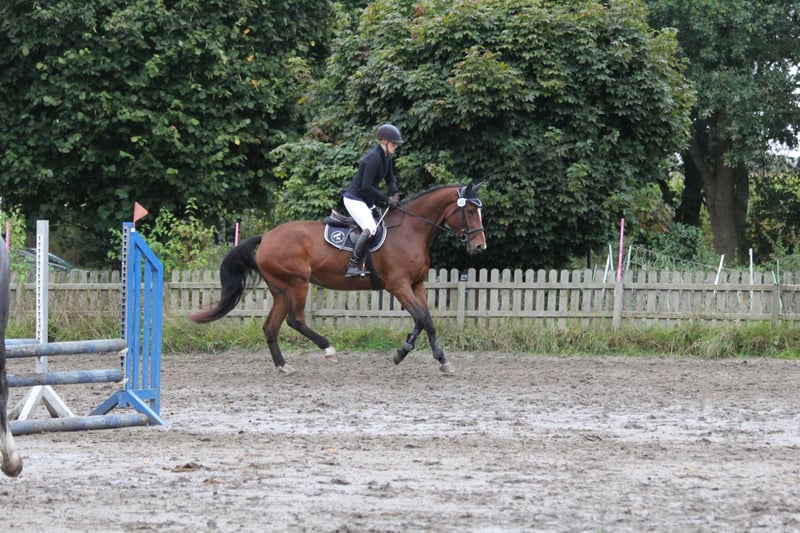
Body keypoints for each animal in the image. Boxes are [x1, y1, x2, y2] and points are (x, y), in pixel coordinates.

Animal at [191, 182, 487, 375]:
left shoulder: (417, 285)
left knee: (271, 327)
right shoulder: (399, 286)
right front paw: (407, 354)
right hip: (297, 284)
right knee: (295, 320)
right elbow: (423, 319)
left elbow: (426, 321)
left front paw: (430, 358)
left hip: (280, 290)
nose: (480, 247)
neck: (411, 230)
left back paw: (284, 366)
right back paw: (328, 349)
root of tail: (266, 236)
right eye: (471, 211)